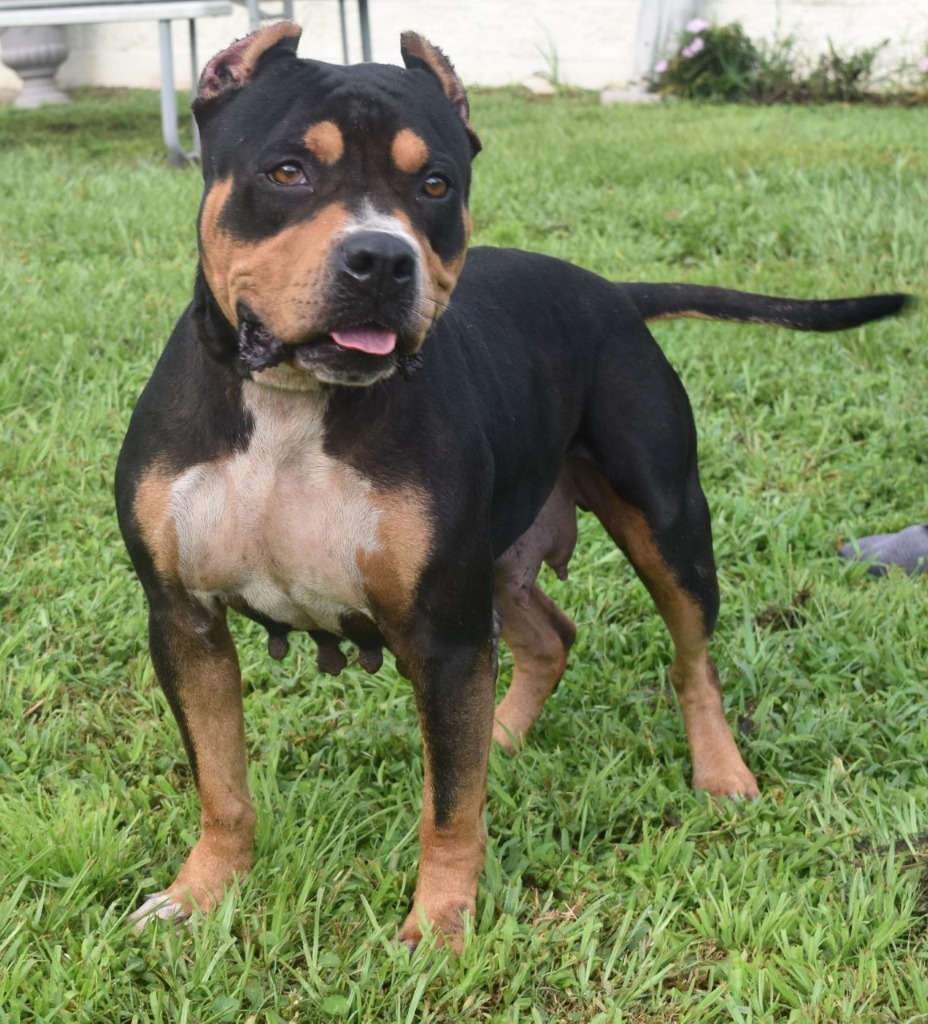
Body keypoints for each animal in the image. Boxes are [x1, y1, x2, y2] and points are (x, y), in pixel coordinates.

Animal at [115, 22, 908, 950]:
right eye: (287, 171)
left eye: (435, 185)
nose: (380, 258)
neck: (292, 406)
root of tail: (611, 289)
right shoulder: (186, 622)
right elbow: (222, 781)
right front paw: (203, 891)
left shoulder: (447, 630)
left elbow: (450, 808)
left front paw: (439, 928)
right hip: (498, 562)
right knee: (543, 646)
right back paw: (497, 733)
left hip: (668, 528)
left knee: (691, 660)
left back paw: (719, 770)